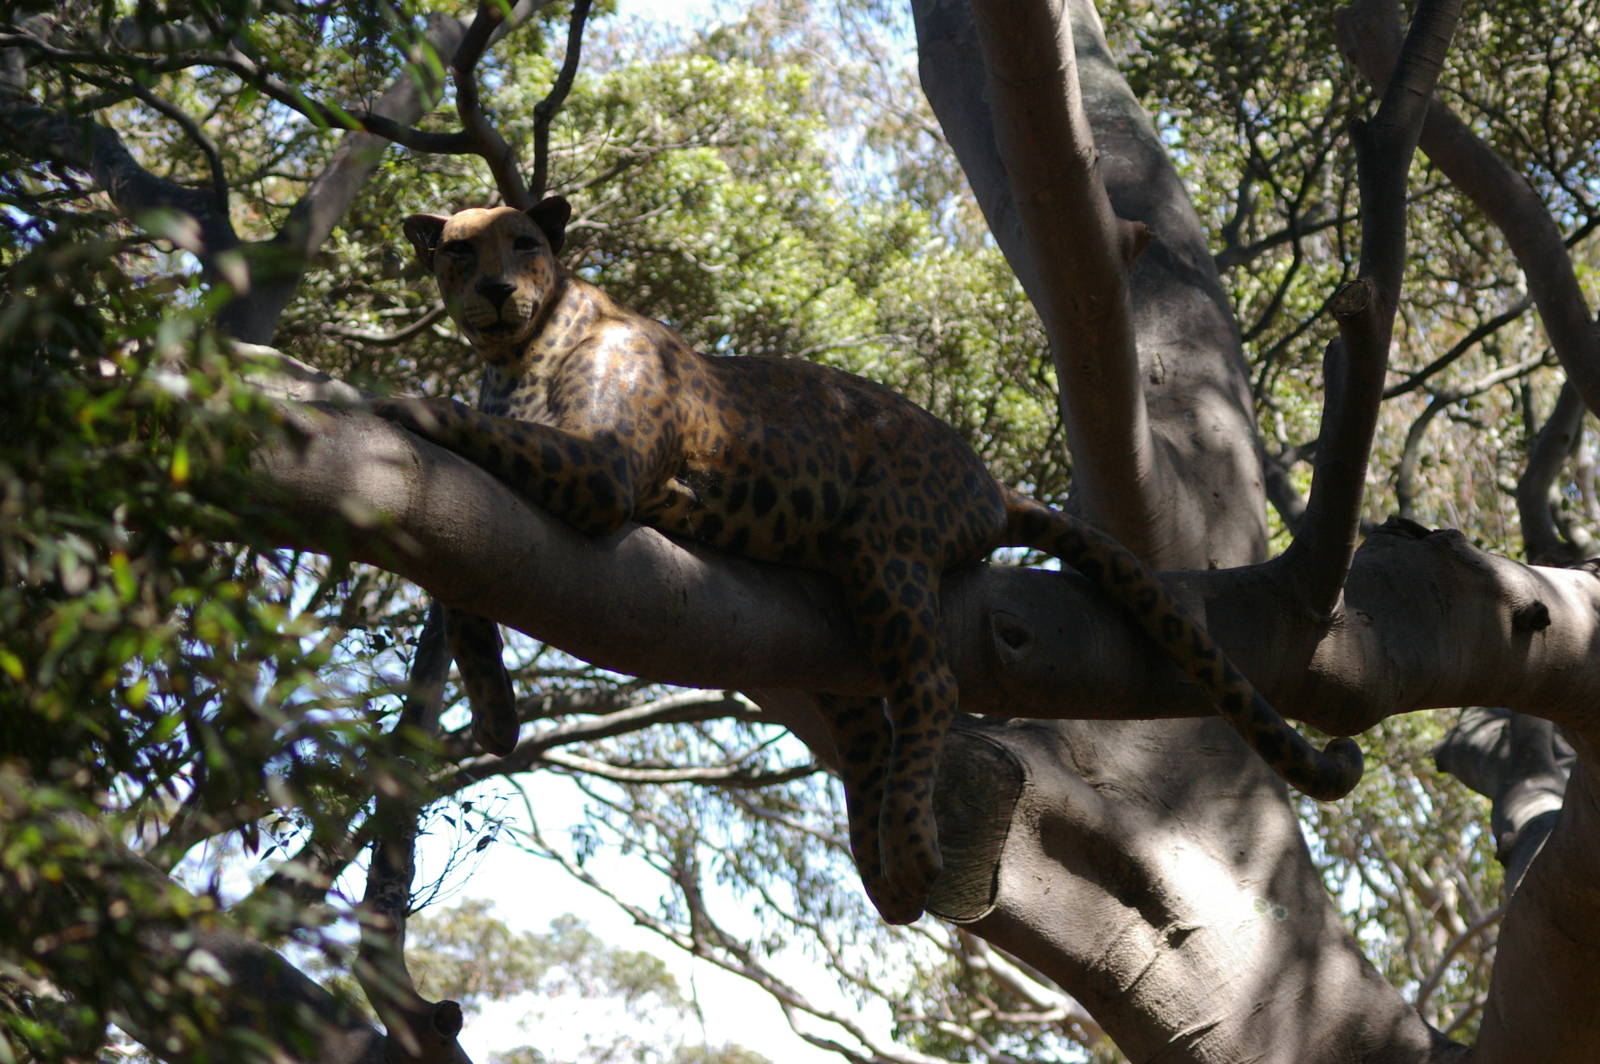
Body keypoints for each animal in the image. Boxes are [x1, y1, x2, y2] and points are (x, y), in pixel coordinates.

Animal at [372, 197, 1363, 924]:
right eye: (456, 251)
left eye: (524, 242)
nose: (496, 288)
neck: (515, 354)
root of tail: (989, 479)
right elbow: (457, 587)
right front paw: (494, 711)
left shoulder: (604, 468)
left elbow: (493, 440)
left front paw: (400, 403)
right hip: (839, 636)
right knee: (867, 733)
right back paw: (884, 870)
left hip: (881, 544)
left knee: (927, 685)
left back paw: (915, 851)